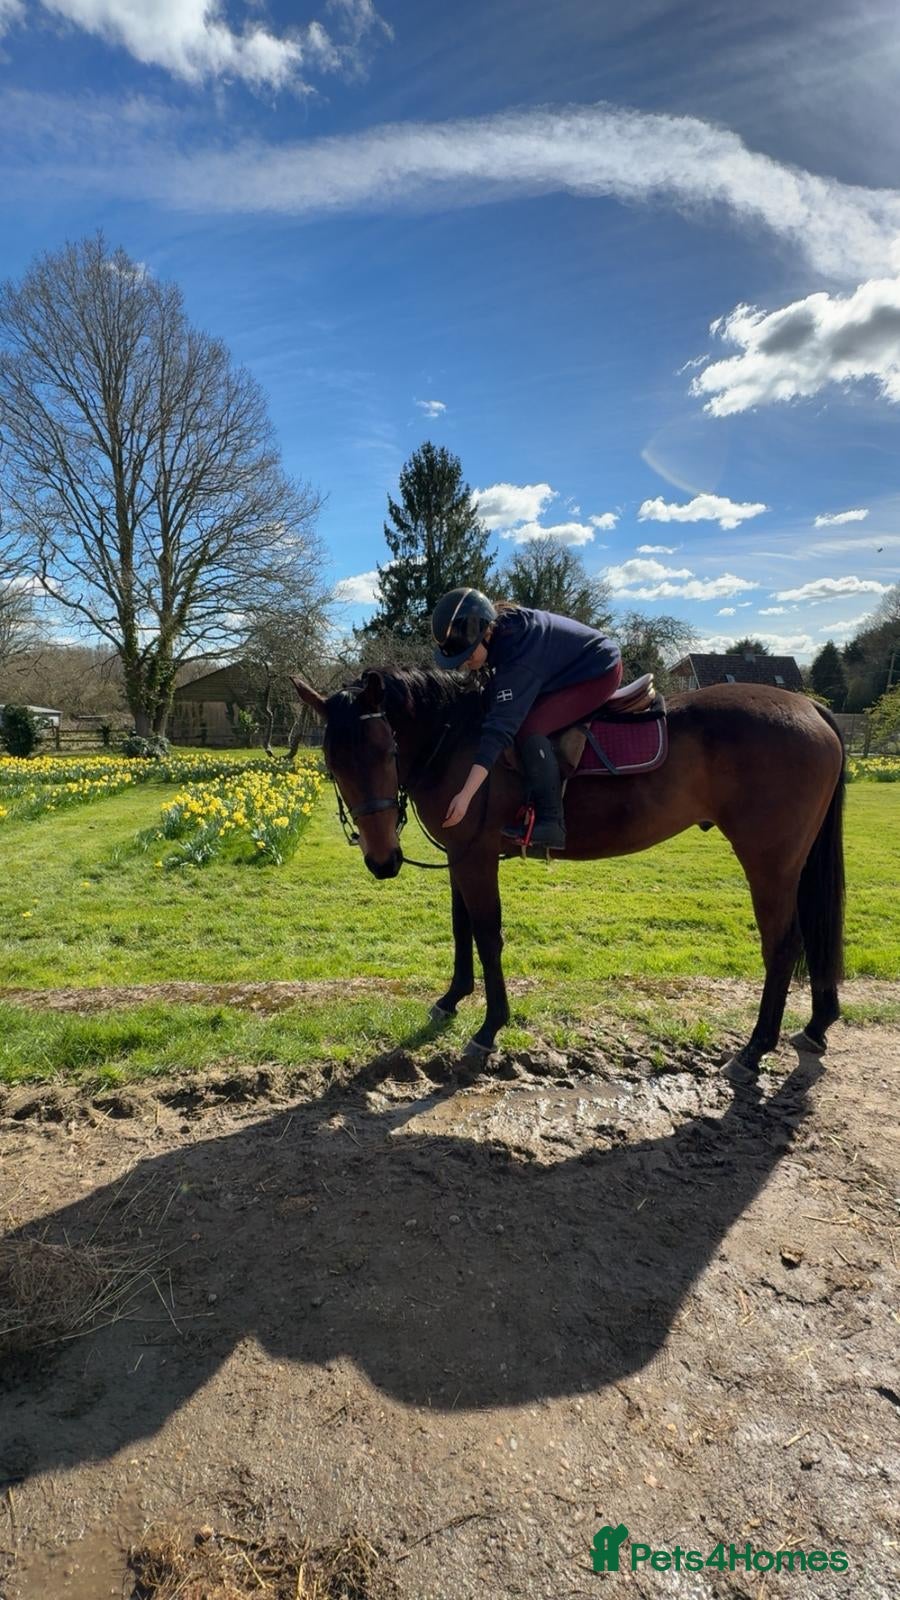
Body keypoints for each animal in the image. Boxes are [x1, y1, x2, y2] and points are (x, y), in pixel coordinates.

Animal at [291, 667, 845, 1070]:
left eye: (386, 750)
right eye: (332, 762)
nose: (382, 860)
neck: (460, 742)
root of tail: (811, 708)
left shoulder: (475, 857)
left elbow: (487, 934)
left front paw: (489, 1027)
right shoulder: (459, 854)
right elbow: (460, 927)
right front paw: (452, 998)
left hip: (769, 864)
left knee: (783, 944)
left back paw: (756, 1047)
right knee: (812, 937)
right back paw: (816, 1025)